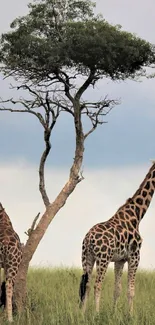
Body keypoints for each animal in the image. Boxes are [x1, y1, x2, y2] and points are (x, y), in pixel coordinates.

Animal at [79, 159, 155, 312]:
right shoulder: (135, 256)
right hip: (103, 258)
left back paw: (82, 314)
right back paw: (96, 313)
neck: (137, 215)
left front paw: (114, 313)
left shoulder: (120, 260)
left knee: (87, 284)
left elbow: (117, 289)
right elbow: (131, 290)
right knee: (97, 285)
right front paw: (130, 314)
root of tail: (88, 239)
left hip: (87, 257)